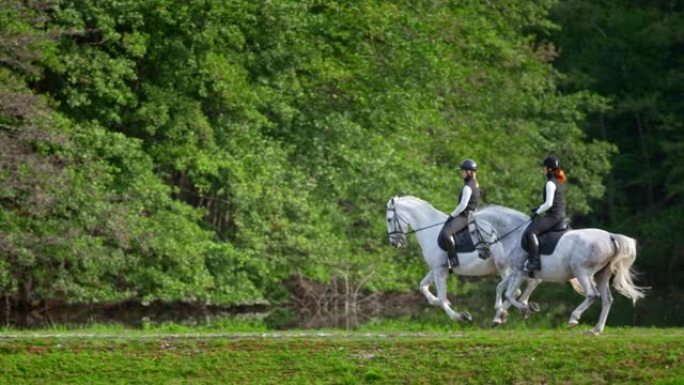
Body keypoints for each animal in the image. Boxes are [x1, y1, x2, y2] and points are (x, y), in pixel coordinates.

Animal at [384, 195, 540, 320]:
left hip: (503, 265)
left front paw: (460, 316)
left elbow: (441, 297)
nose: (394, 243)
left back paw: (501, 315)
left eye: (389, 219)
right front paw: (438, 301)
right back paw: (522, 306)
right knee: (532, 283)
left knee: (517, 289)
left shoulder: (439, 270)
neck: (430, 229)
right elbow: (424, 287)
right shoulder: (436, 269)